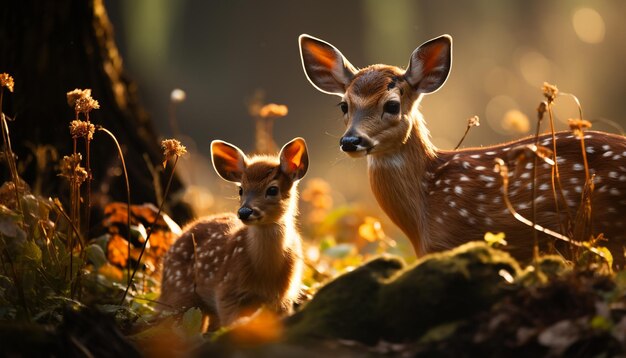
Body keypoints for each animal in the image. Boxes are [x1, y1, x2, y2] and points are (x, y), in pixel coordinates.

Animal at [158, 138, 308, 328]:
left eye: (273, 190)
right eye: (241, 190)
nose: (244, 212)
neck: (265, 274)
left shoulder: (284, 297)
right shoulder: (227, 289)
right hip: (178, 293)